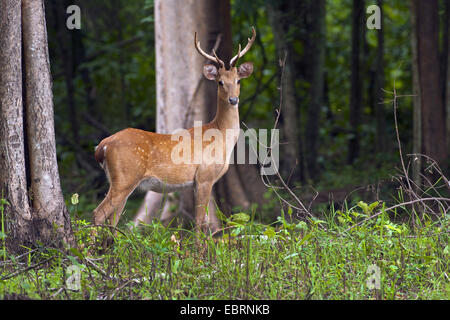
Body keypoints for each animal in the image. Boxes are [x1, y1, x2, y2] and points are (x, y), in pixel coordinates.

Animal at [92, 26, 253, 232]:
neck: (220, 134)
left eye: (238, 81)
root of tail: (102, 146)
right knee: (98, 213)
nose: (233, 100)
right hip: (125, 177)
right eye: (220, 82)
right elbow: (199, 221)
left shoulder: (198, 181)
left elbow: (204, 221)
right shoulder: (204, 175)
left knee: (113, 220)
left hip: (119, 180)